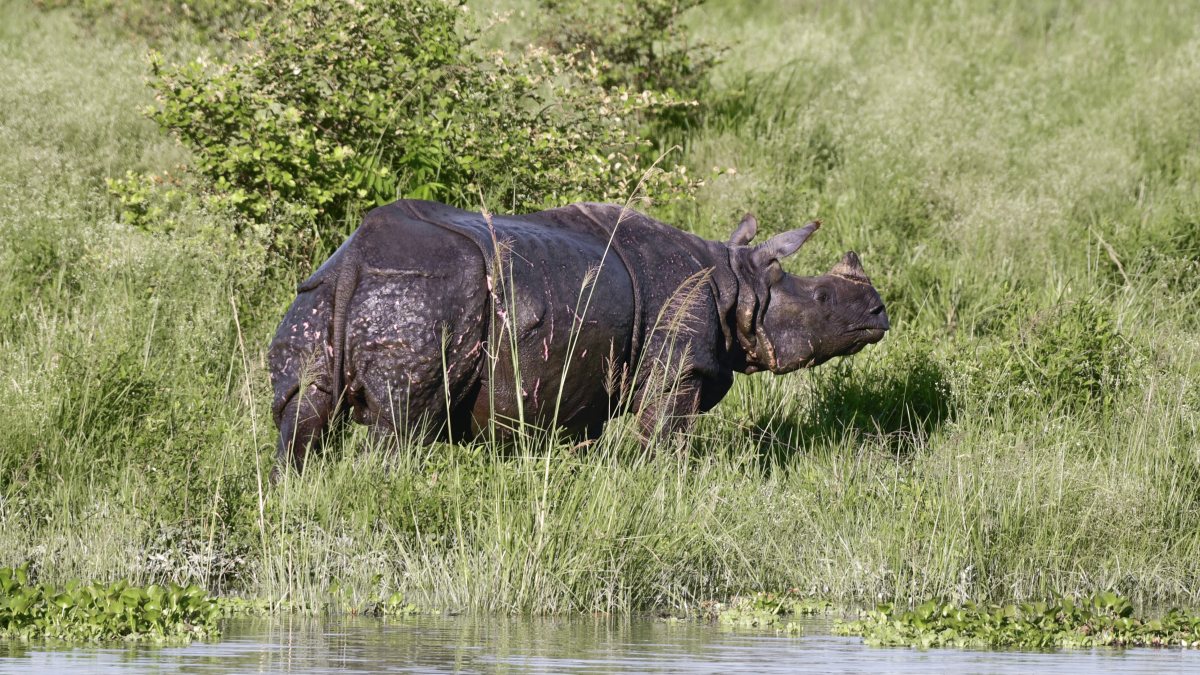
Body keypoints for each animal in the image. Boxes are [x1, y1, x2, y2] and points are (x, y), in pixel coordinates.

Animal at [269, 200, 889, 473]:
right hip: (425, 295)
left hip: (322, 293)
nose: (881, 312)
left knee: (303, 409)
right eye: (823, 299)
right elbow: (666, 436)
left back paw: (291, 488)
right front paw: (666, 485)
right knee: (402, 425)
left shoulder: (581, 378)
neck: (739, 282)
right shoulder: (677, 365)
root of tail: (358, 260)